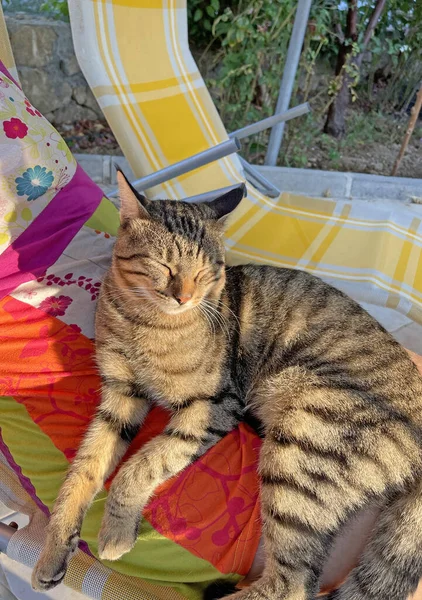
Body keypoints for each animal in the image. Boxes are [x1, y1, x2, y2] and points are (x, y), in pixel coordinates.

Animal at [33, 169, 422, 600]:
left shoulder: (215, 404)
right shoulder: (120, 395)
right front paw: (55, 548)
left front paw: (116, 531)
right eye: (164, 266)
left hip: (303, 439)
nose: (184, 297)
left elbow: (144, 462)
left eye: (205, 271)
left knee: (293, 583)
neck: (143, 322)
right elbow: (85, 468)